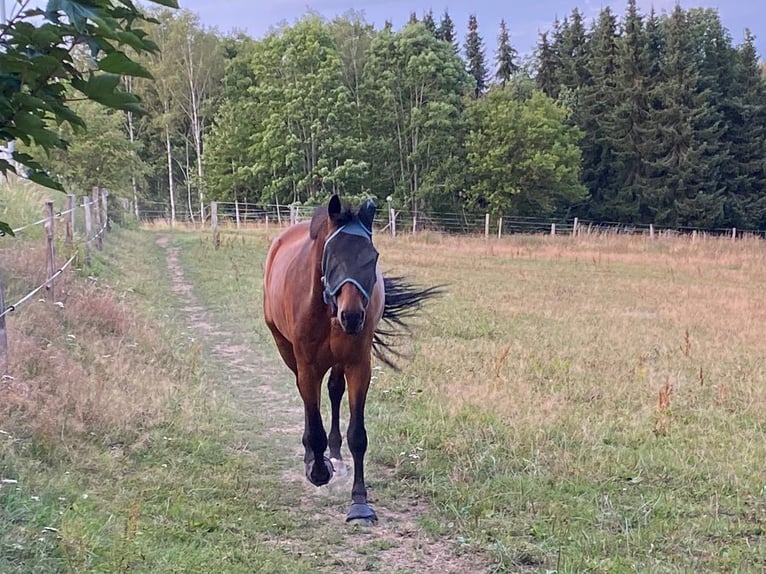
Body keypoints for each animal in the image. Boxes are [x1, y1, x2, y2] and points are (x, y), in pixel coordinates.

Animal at [262, 195, 438, 528]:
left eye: (373, 256)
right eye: (331, 256)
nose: (353, 316)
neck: (327, 309)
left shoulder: (359, 366)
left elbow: (358, 436)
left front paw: (359, 503)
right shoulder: (307, 366)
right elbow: (314, 423)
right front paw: (318, 470)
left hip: (338, 361)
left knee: (333, 391)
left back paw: (337, 456)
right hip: (286, 350)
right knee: (309, 399)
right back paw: (314, 458)